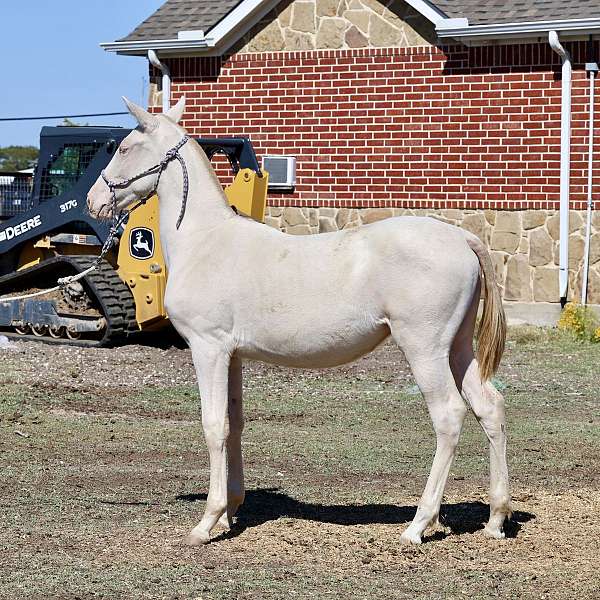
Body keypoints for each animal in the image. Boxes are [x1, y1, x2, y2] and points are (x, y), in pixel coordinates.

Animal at [88, 96, 510, 548]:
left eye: (124, 147)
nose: (93, 201)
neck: (205, 241)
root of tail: (461, 237)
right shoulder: (233, 356)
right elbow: (235, 424)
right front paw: (230, 514)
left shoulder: (208, 348)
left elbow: (213, 425)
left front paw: (207, 523)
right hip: (458, 348)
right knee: (489, 407)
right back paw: (495, 519)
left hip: (425, 349)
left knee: (449, 415)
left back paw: (418, 525)